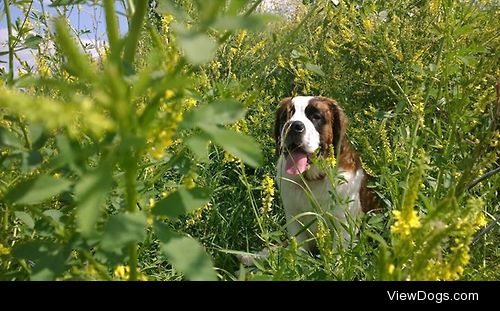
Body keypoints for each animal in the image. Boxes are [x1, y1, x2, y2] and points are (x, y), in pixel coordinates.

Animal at [274, 95, 378, 254]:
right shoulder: (293, 217)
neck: (313, 179)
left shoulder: (344, 222)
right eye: (286, 116)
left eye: (316, 117)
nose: (293, 125)